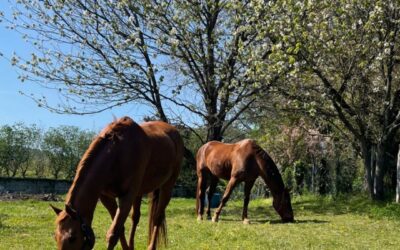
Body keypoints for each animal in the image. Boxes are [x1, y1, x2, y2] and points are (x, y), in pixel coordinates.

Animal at [50, 117, 183, 250]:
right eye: (55, 237)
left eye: (72, 238)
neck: (116, 155)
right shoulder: (106, 197)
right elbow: (120, 229)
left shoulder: (126, 197)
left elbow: (113, 234)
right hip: (139, 192)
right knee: (135, 218)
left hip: (167, 187)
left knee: (157, 218)